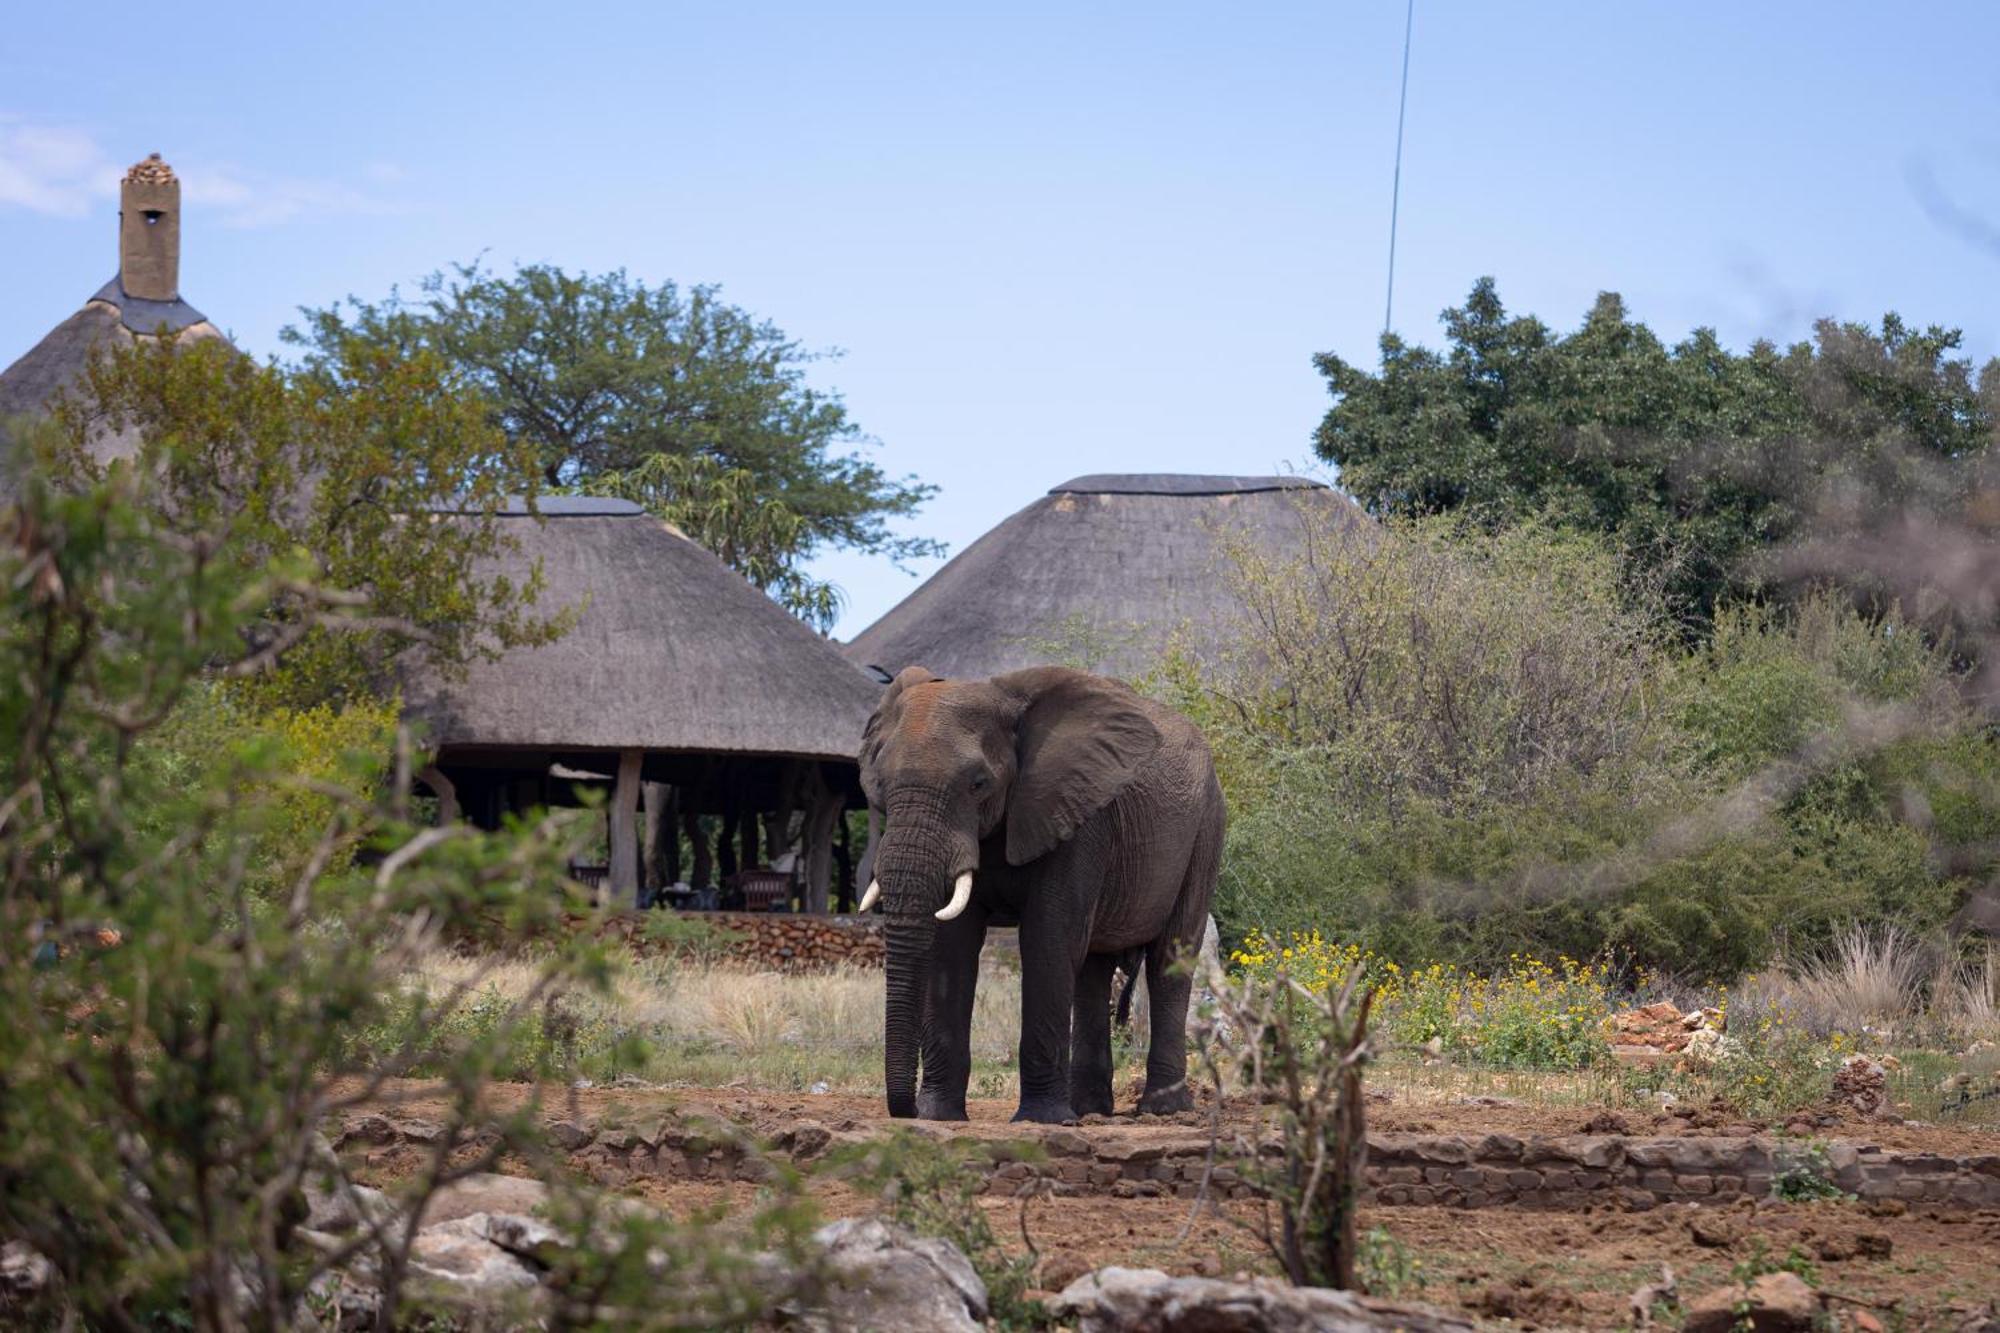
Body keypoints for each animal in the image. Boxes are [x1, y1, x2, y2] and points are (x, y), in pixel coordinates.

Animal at [856, 660, 1224, 1112]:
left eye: (978, 783)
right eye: (880, 784)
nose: (906, 1109)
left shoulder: (1077, 814)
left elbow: (1046, 938)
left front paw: (1041, 1118)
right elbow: (953, 945)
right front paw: (937, 1115)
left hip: (1206, 828)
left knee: (1170, 960)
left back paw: (1162, 1110)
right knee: (1093, 970)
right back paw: (1088, 1110)